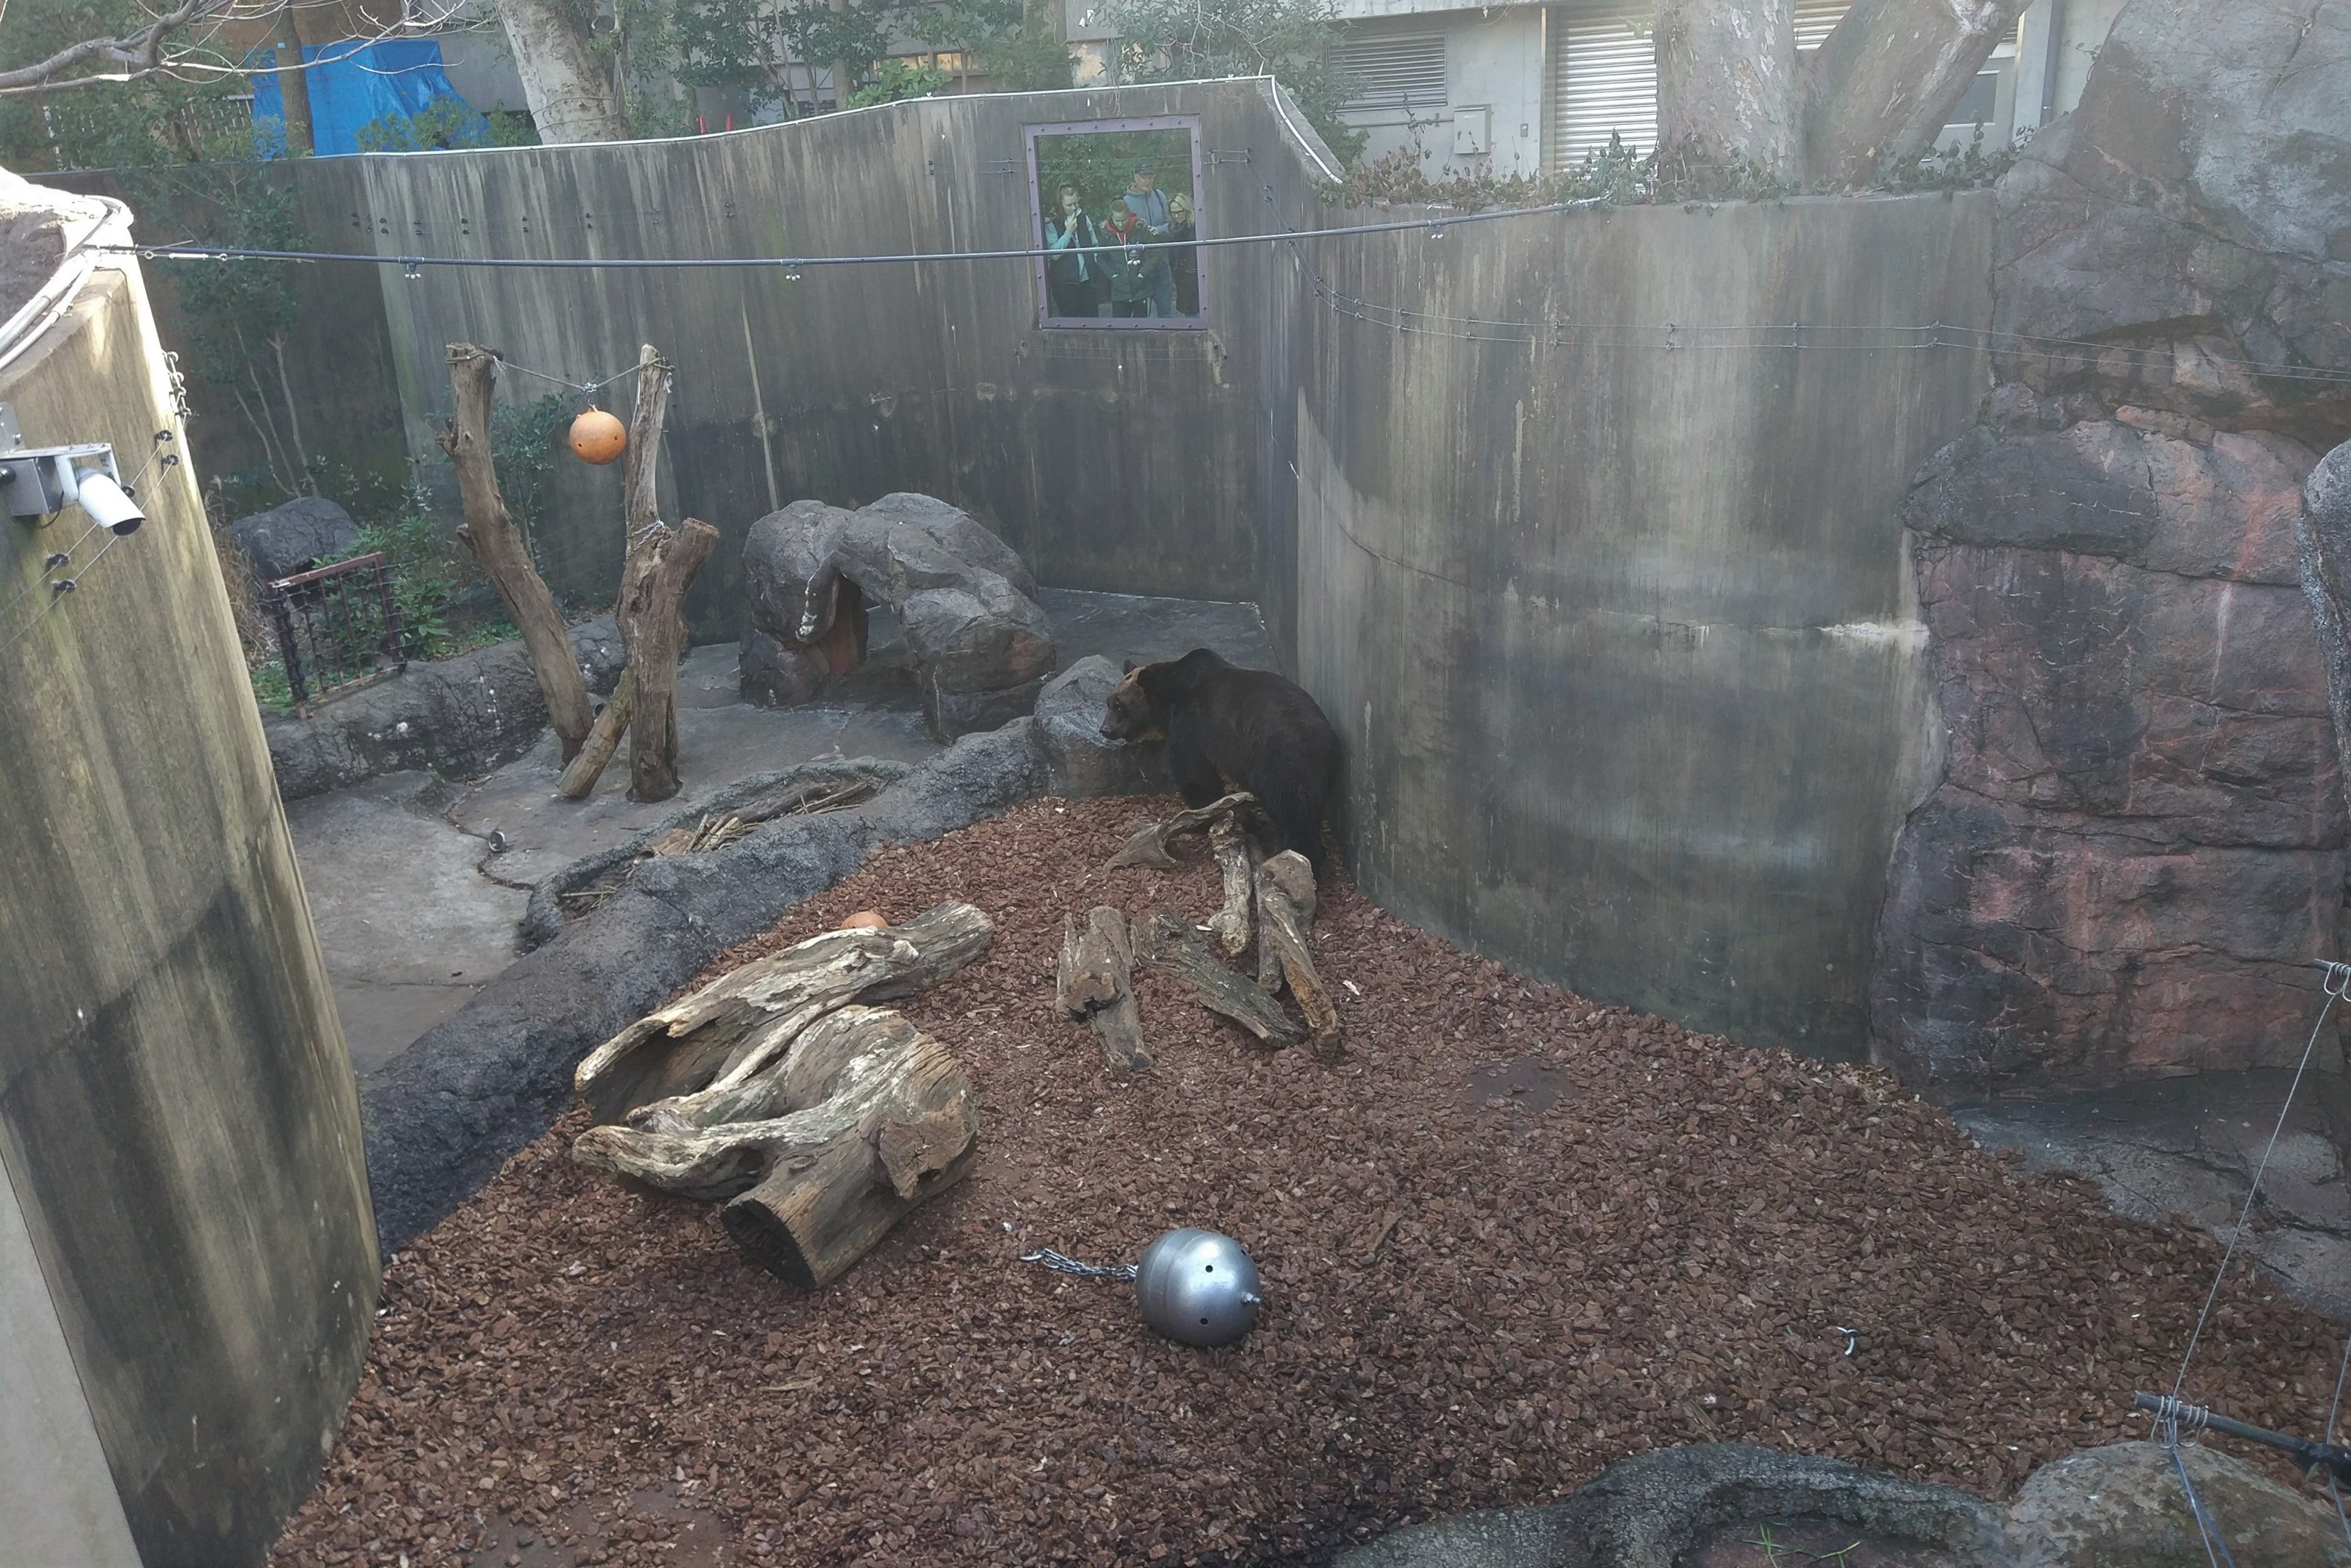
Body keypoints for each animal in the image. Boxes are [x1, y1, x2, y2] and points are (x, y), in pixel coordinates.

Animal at [1099, 648, 1340, 873]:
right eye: (1109, 702)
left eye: (1119, 705)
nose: (1105, 729)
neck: (1170, 698)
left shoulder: (1192, 724)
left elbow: (1195, 775)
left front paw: (1200, 818)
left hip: (1279, 763)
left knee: (1293, 812)